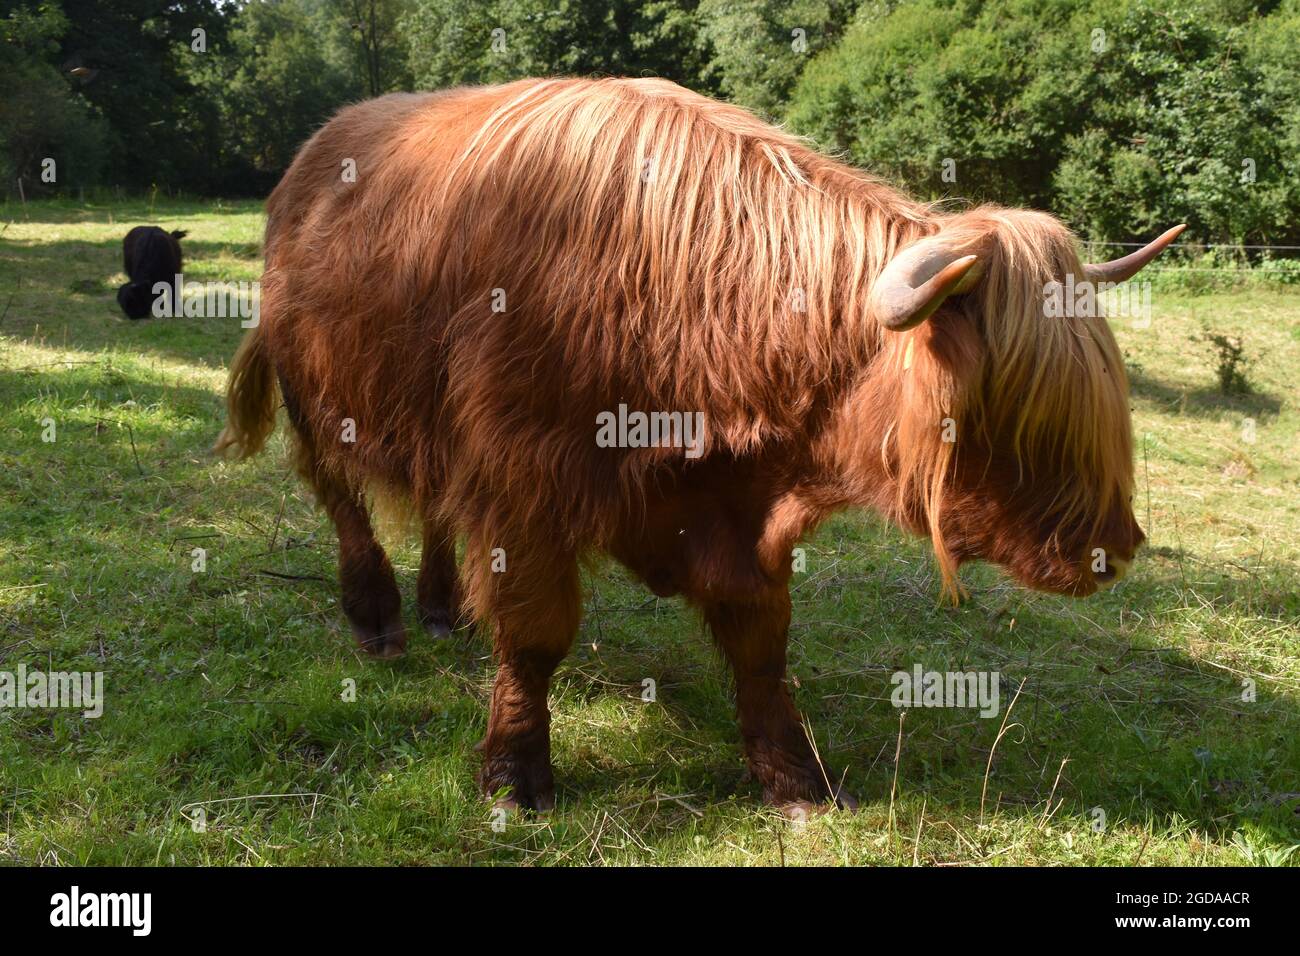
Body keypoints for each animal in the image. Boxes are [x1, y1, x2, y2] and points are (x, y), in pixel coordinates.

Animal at [217, 77, 1181, 814]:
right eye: (1016, 414)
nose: (1114, 547)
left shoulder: (740, 518)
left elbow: (762, 646)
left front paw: (797, 782)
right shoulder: (523, 483)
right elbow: (535, 634)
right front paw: (516, 779)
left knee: (432, 506)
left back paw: (442, 606)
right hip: (320, 404)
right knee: (344, 503)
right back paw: (378, 620)